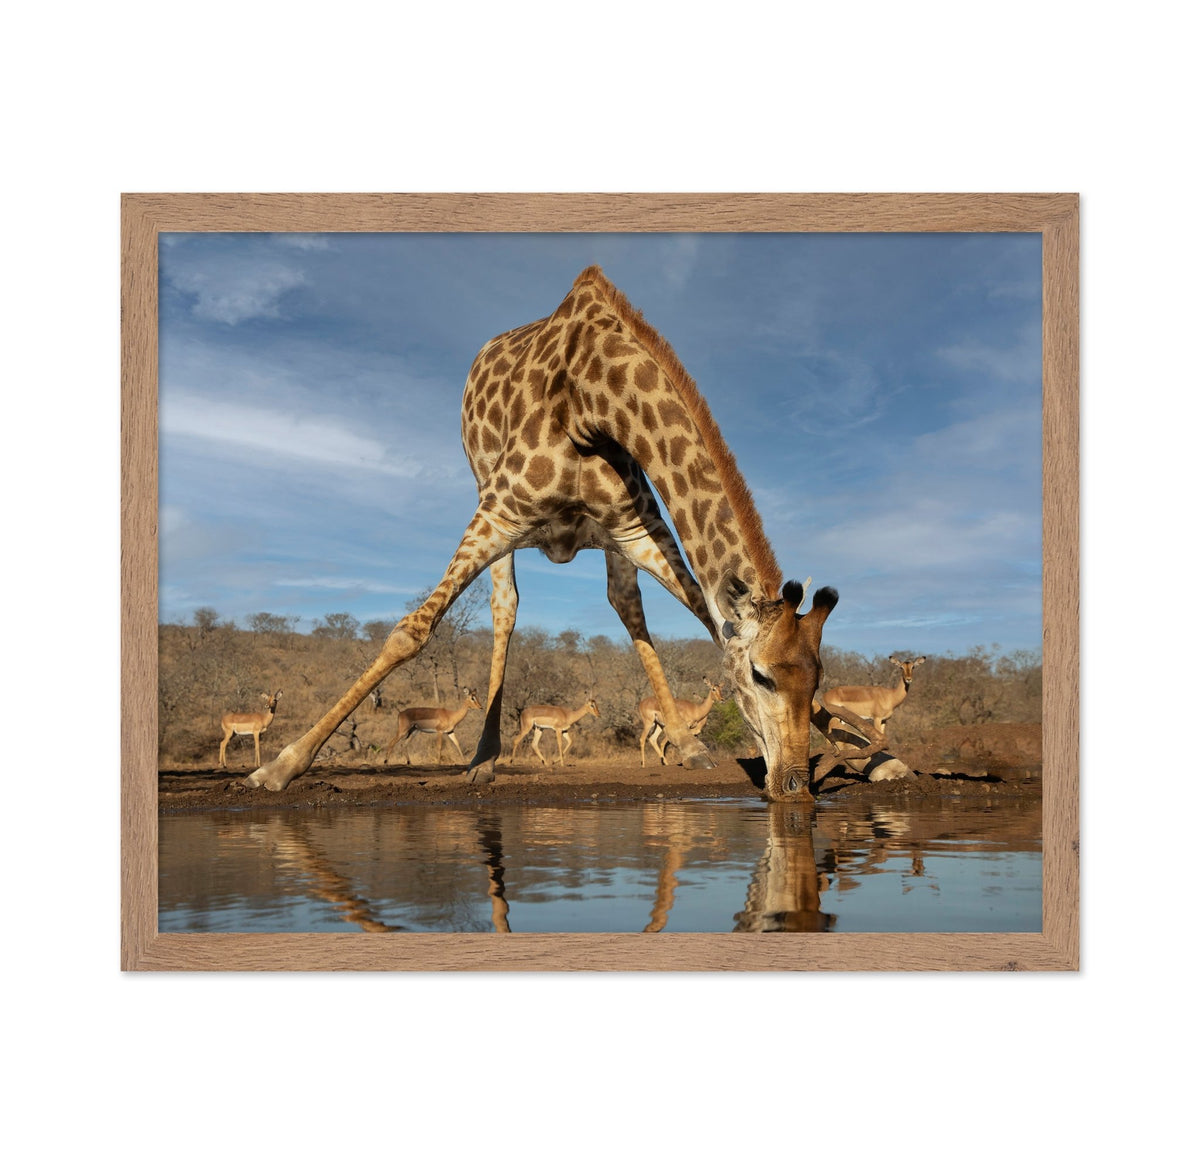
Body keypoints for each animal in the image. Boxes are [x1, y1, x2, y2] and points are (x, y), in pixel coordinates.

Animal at [245, 266, 837, 802]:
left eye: (818, 679)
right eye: (760, 676)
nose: (793, 785)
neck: (594, 399)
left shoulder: (637, 529)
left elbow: (704, 614)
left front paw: (848, 749)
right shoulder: (501, 511)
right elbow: (411, 631)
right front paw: (279, 767)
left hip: (609, 542)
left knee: (625, 604)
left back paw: (687, 745)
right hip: (489, 501)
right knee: (505, 608)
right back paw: (483, 760)